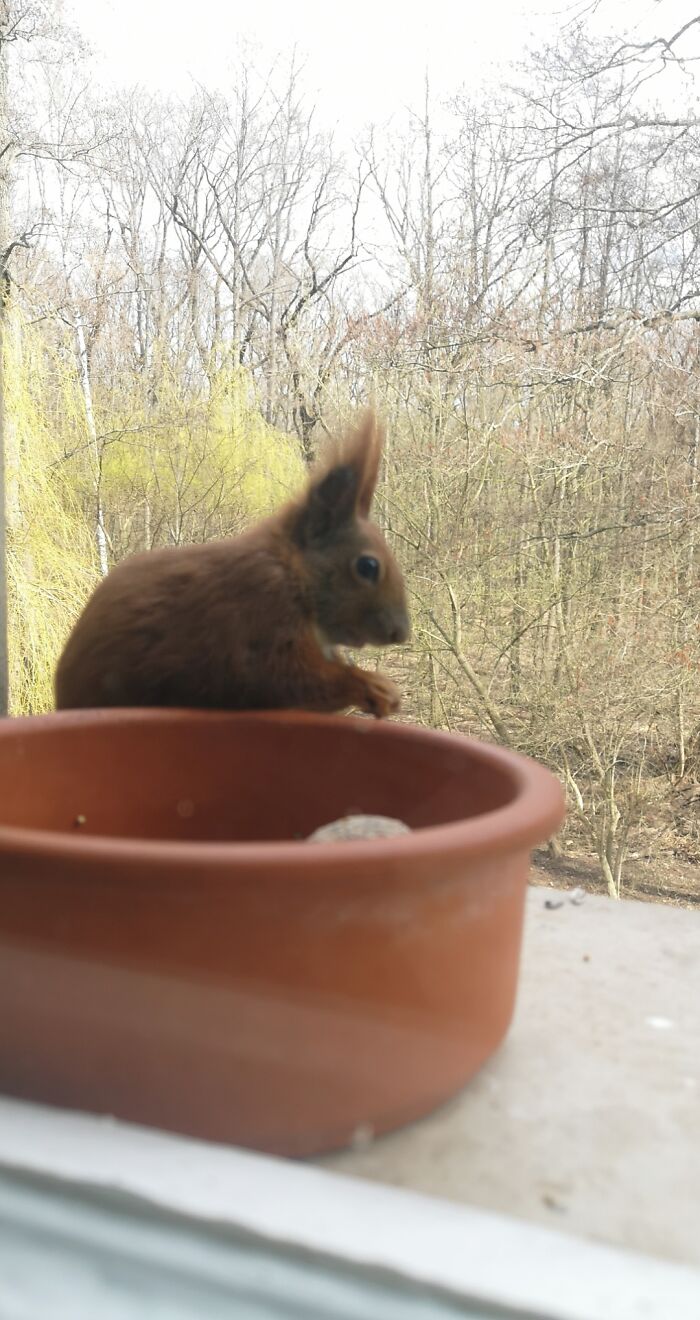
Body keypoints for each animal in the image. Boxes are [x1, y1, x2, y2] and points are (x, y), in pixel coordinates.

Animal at [54, 412, 410, 719]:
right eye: (367, 566)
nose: (401, 633)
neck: (293, 574)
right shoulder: (260, 617)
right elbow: (293, 680)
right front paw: (375, 687)